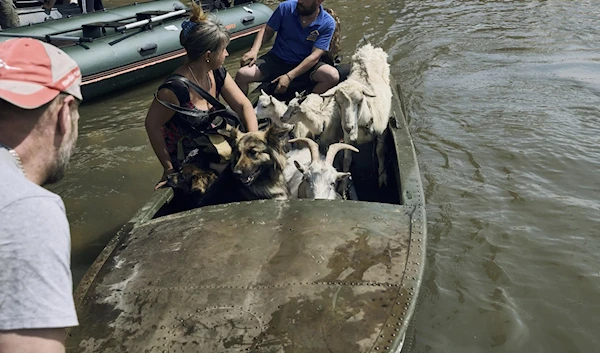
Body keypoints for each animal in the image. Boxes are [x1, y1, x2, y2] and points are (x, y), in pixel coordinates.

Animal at [322, 43, 392, 187]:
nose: (349, 127)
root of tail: (369, 47)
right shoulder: (347, 137)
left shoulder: (382, 131)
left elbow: (380, 151)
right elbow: (347, 159)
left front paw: (382, 176)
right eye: (337, 102)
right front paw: (343, 185)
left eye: (360, 101)